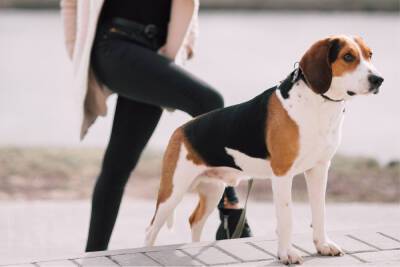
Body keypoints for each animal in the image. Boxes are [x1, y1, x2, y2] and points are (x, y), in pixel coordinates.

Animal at [145, 36, 382, 266]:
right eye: (348, 56)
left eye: (370, 54)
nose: (379, 79)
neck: (317, 103)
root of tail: (180, 130)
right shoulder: (282, 174)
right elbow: (286, 218)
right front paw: (286, 254)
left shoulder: (319, 169)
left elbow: (320, 212)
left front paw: (323, 245)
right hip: (172, 192)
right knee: (151, 230)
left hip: (213, 190)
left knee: (195, 221)